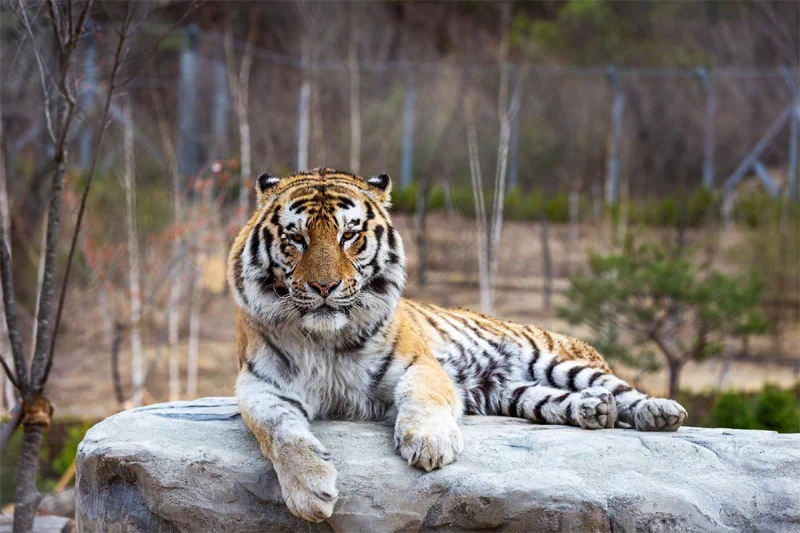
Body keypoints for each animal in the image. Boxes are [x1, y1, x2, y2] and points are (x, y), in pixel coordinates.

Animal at [227, 168, 688, 520]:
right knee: (563, 400)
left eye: (349, 236)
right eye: (296, 239)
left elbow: (423, 398)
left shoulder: (419, 364)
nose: (324, 287)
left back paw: (661, 412)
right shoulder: (260, 385)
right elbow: (280, 433)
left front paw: (430, 445)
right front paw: (310, 491)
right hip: (512, 392)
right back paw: (594, 410)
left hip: (553, 360)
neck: (326, 338)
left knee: (621, 390)